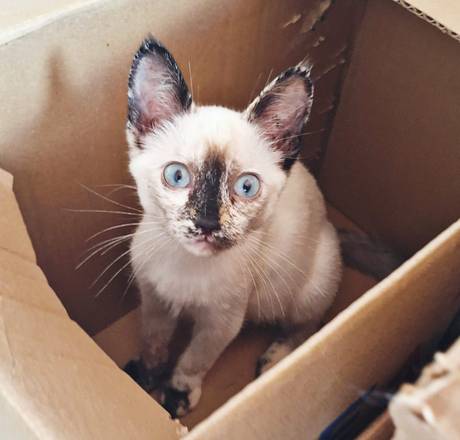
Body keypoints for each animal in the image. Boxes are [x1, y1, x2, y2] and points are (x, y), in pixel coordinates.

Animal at [125, 36, 342, 417]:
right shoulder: (153, 298)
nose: (207, 223)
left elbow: (195, 360)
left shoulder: (222, 321)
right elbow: (153, 341)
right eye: (176, 176)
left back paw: (276, 359)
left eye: (246, 187)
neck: (185, 267)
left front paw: (176, 395)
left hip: (309, 287)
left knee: (307, 325)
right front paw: (147, 377)